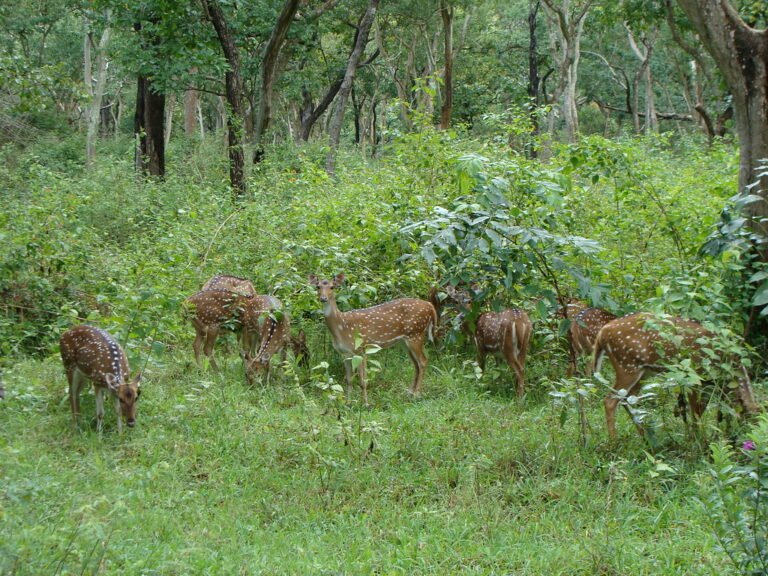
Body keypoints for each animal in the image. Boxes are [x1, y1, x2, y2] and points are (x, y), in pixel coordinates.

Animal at [308, 274, 438, 404]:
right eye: (318, 286)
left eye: (332, 287)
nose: (323, 298)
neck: (342, 327)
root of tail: (430, 305)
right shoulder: (344, 353)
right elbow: (349, 380)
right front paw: (348, 403)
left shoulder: (360, 348)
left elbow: (362, 381)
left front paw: (365, 403)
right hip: (404, 341)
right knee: (416, 364)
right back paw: (409, 392)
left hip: (416, 334)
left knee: (423, 361)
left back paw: (416, 394)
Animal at [592, 312, 760, 438]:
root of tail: (602, 332)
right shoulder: (694, 378)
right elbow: (696, 414)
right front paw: (698, 441)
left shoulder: (708, 384)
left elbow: (701, 410)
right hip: (627, 365)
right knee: (610, 400)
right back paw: (614, 441)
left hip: (643, 371)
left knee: (628, 399)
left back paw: (645, 436)